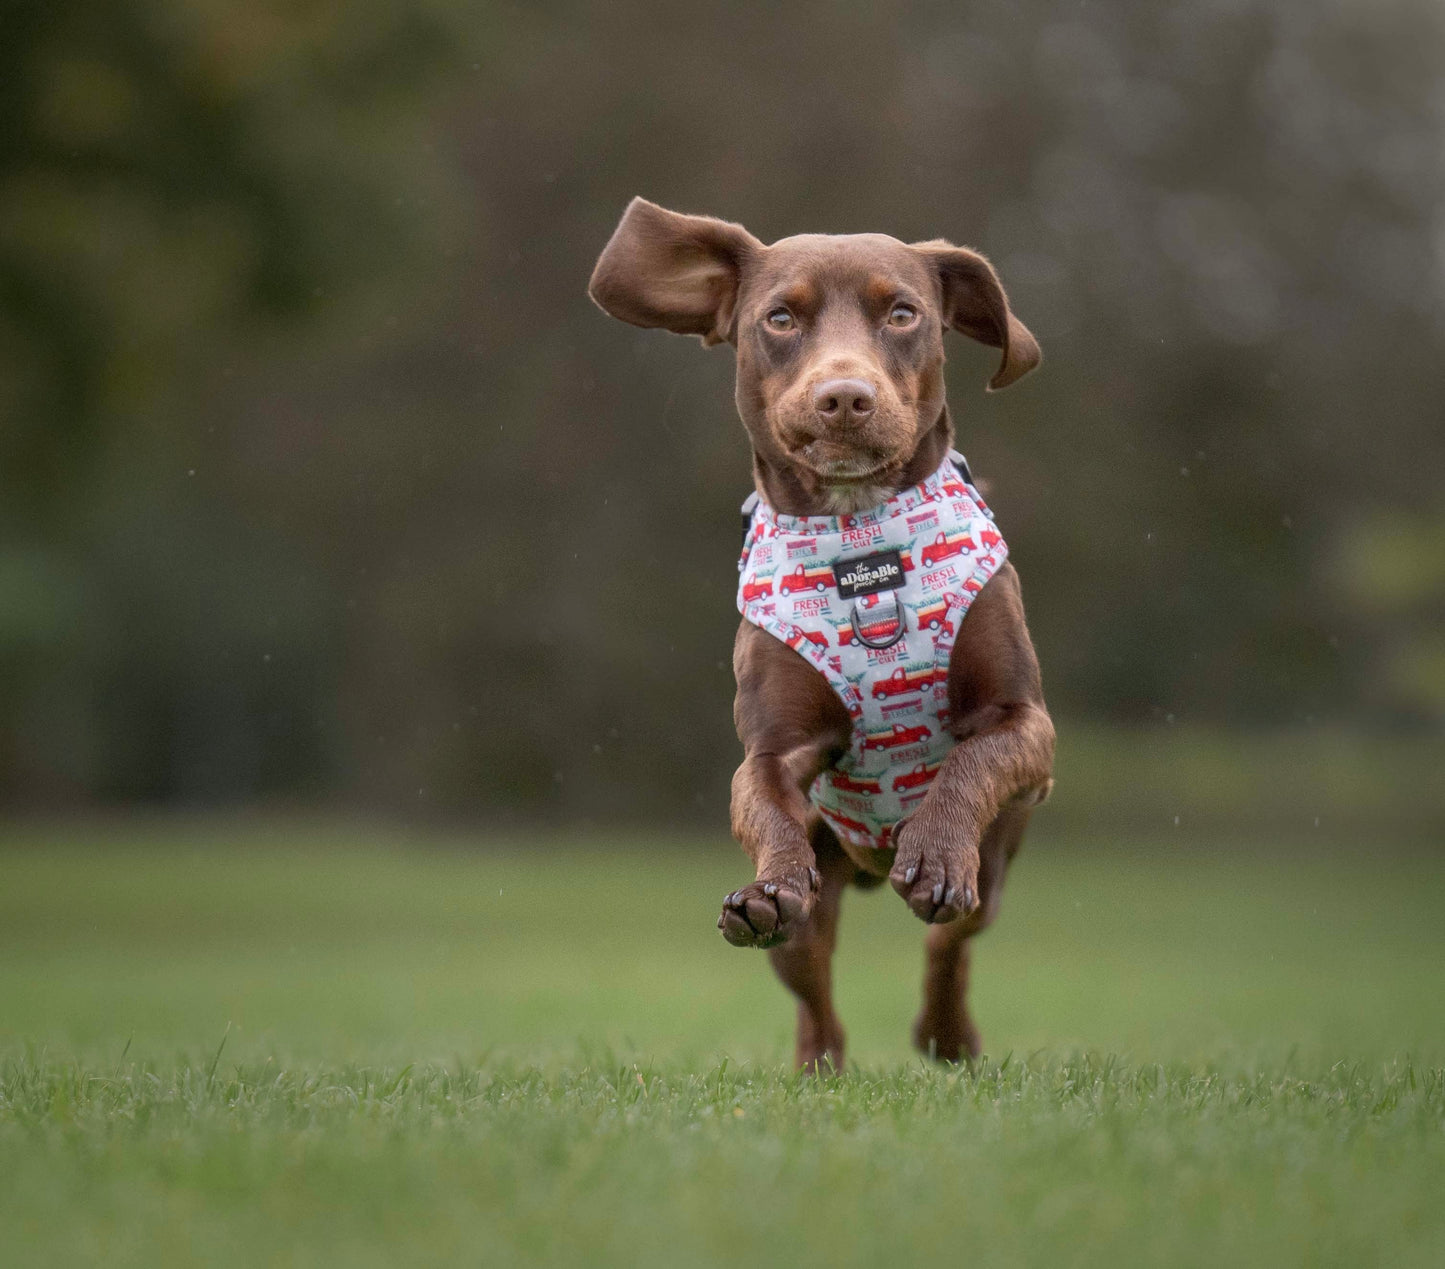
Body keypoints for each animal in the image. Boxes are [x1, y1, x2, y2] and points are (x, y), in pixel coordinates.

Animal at [586, 200, 1051, 1075]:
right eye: (780, 318)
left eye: (902, 312)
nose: (843, 396)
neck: (857, 538)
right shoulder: (774, 748)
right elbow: (767, 802)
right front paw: (768, 886)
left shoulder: (1025, 725)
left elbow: (971, 761)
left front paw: (935, 852)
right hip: (817, 900)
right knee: (813, 984)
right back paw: (816, 1055)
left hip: (999, 863)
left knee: (952, 941)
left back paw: (946, 1033)